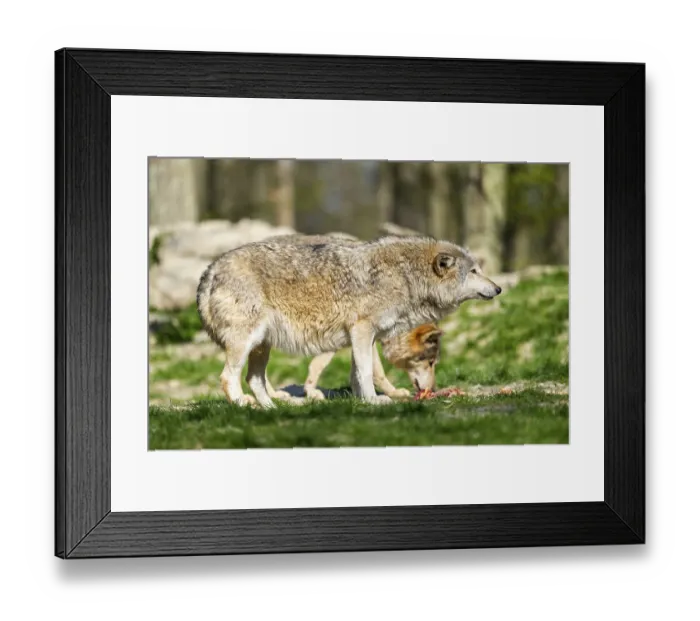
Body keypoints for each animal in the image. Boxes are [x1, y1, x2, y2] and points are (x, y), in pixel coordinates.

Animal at [196, 234, 502, 408]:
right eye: (473, 272)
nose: (498, 288)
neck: (405, 276)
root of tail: (210, 269)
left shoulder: (364, 337)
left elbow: (357, 373)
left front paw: (364, 402)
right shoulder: (362, 331)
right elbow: (367, 372)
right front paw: (374, 401)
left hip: (262, 346)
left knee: (254, 378)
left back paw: (272, 409)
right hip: (245, 344)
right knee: (228, 377)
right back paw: (243, 405)